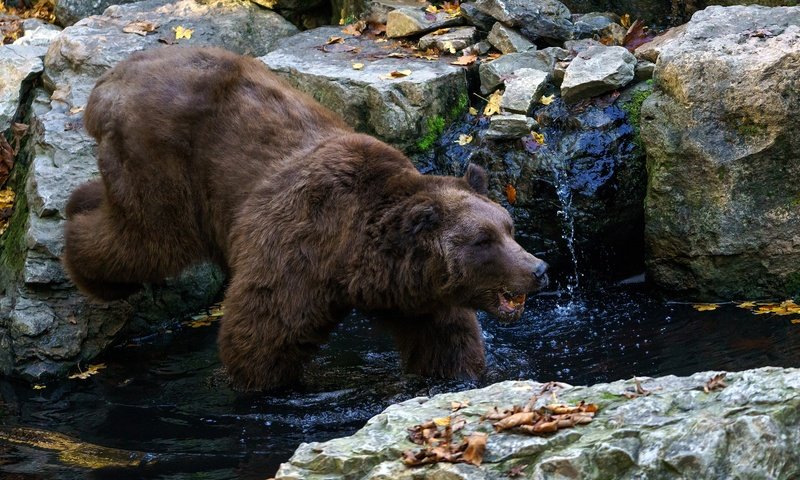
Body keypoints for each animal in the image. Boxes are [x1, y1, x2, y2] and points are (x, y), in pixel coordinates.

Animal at [62, 46, 552, 390]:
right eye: (484, 240)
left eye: (509, 228)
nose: (539, 268)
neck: (354, 256)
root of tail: (108, 82)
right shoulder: (298, 247)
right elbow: (263, 334)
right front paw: (263, 384)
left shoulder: (415, 294)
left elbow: (446, 340)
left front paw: (459, 373)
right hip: (168, 166)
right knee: (144, 240)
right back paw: (90, 263)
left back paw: (81, 201)